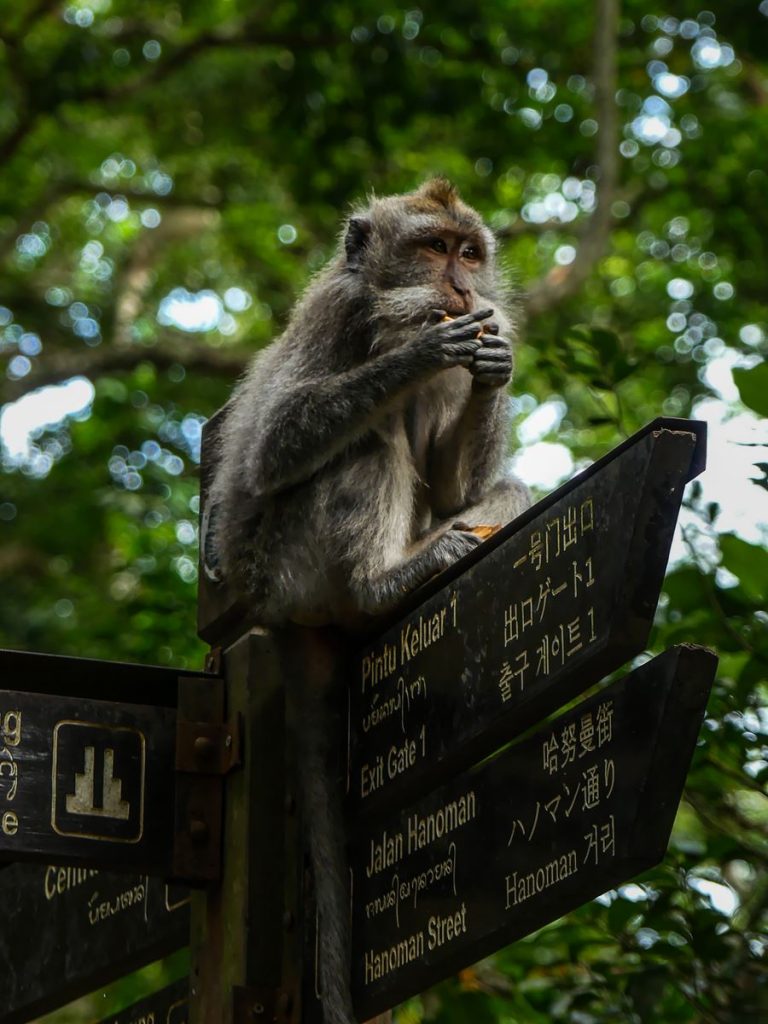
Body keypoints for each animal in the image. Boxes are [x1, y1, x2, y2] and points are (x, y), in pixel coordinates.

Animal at [205, 179, 530, 1024]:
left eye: (469, 253)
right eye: (432, 247)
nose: (462, 291)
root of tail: (275, 614)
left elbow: (454, 490)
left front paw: (494, 362)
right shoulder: (341, 313)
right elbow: (276, 446)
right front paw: (421, 353)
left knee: (501, 491)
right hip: (291, 566)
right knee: (363, 442)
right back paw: (380, 583)